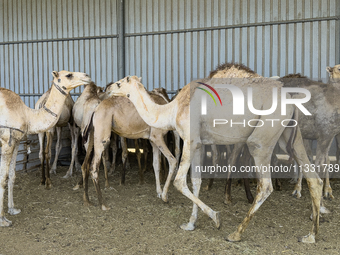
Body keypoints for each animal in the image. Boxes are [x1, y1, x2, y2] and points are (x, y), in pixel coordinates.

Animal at [0, 70, 91, 226]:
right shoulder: (7, 142)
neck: (27, 115)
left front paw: (12, 209)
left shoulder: (16, 141)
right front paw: (2, 219)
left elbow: (12, 175)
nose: (87, 76)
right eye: (69, 75)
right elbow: (2, 178)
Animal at [80, 82, 178, 210]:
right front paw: (165, 197)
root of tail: (95, 109)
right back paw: (103, 204)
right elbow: (172, 160)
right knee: (93, 167)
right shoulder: (157, 136)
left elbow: (156, 164)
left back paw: (87, 200)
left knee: (85, 165)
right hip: (102, 134)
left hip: (92, 133)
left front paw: (159, 192)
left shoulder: (153, 140)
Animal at [106, 72, 324, 244]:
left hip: (262, 138)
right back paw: (311, 235)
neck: (172, 109)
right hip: (290, 136)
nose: (107, 89)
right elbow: (195, 181)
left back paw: (236, 233)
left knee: (265, 185)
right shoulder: (199, 143)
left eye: (120, 83)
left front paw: (216, 217)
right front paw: (191, 223)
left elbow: (179, 181)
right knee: (313, 178)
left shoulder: (190, 139)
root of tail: (290, 99)